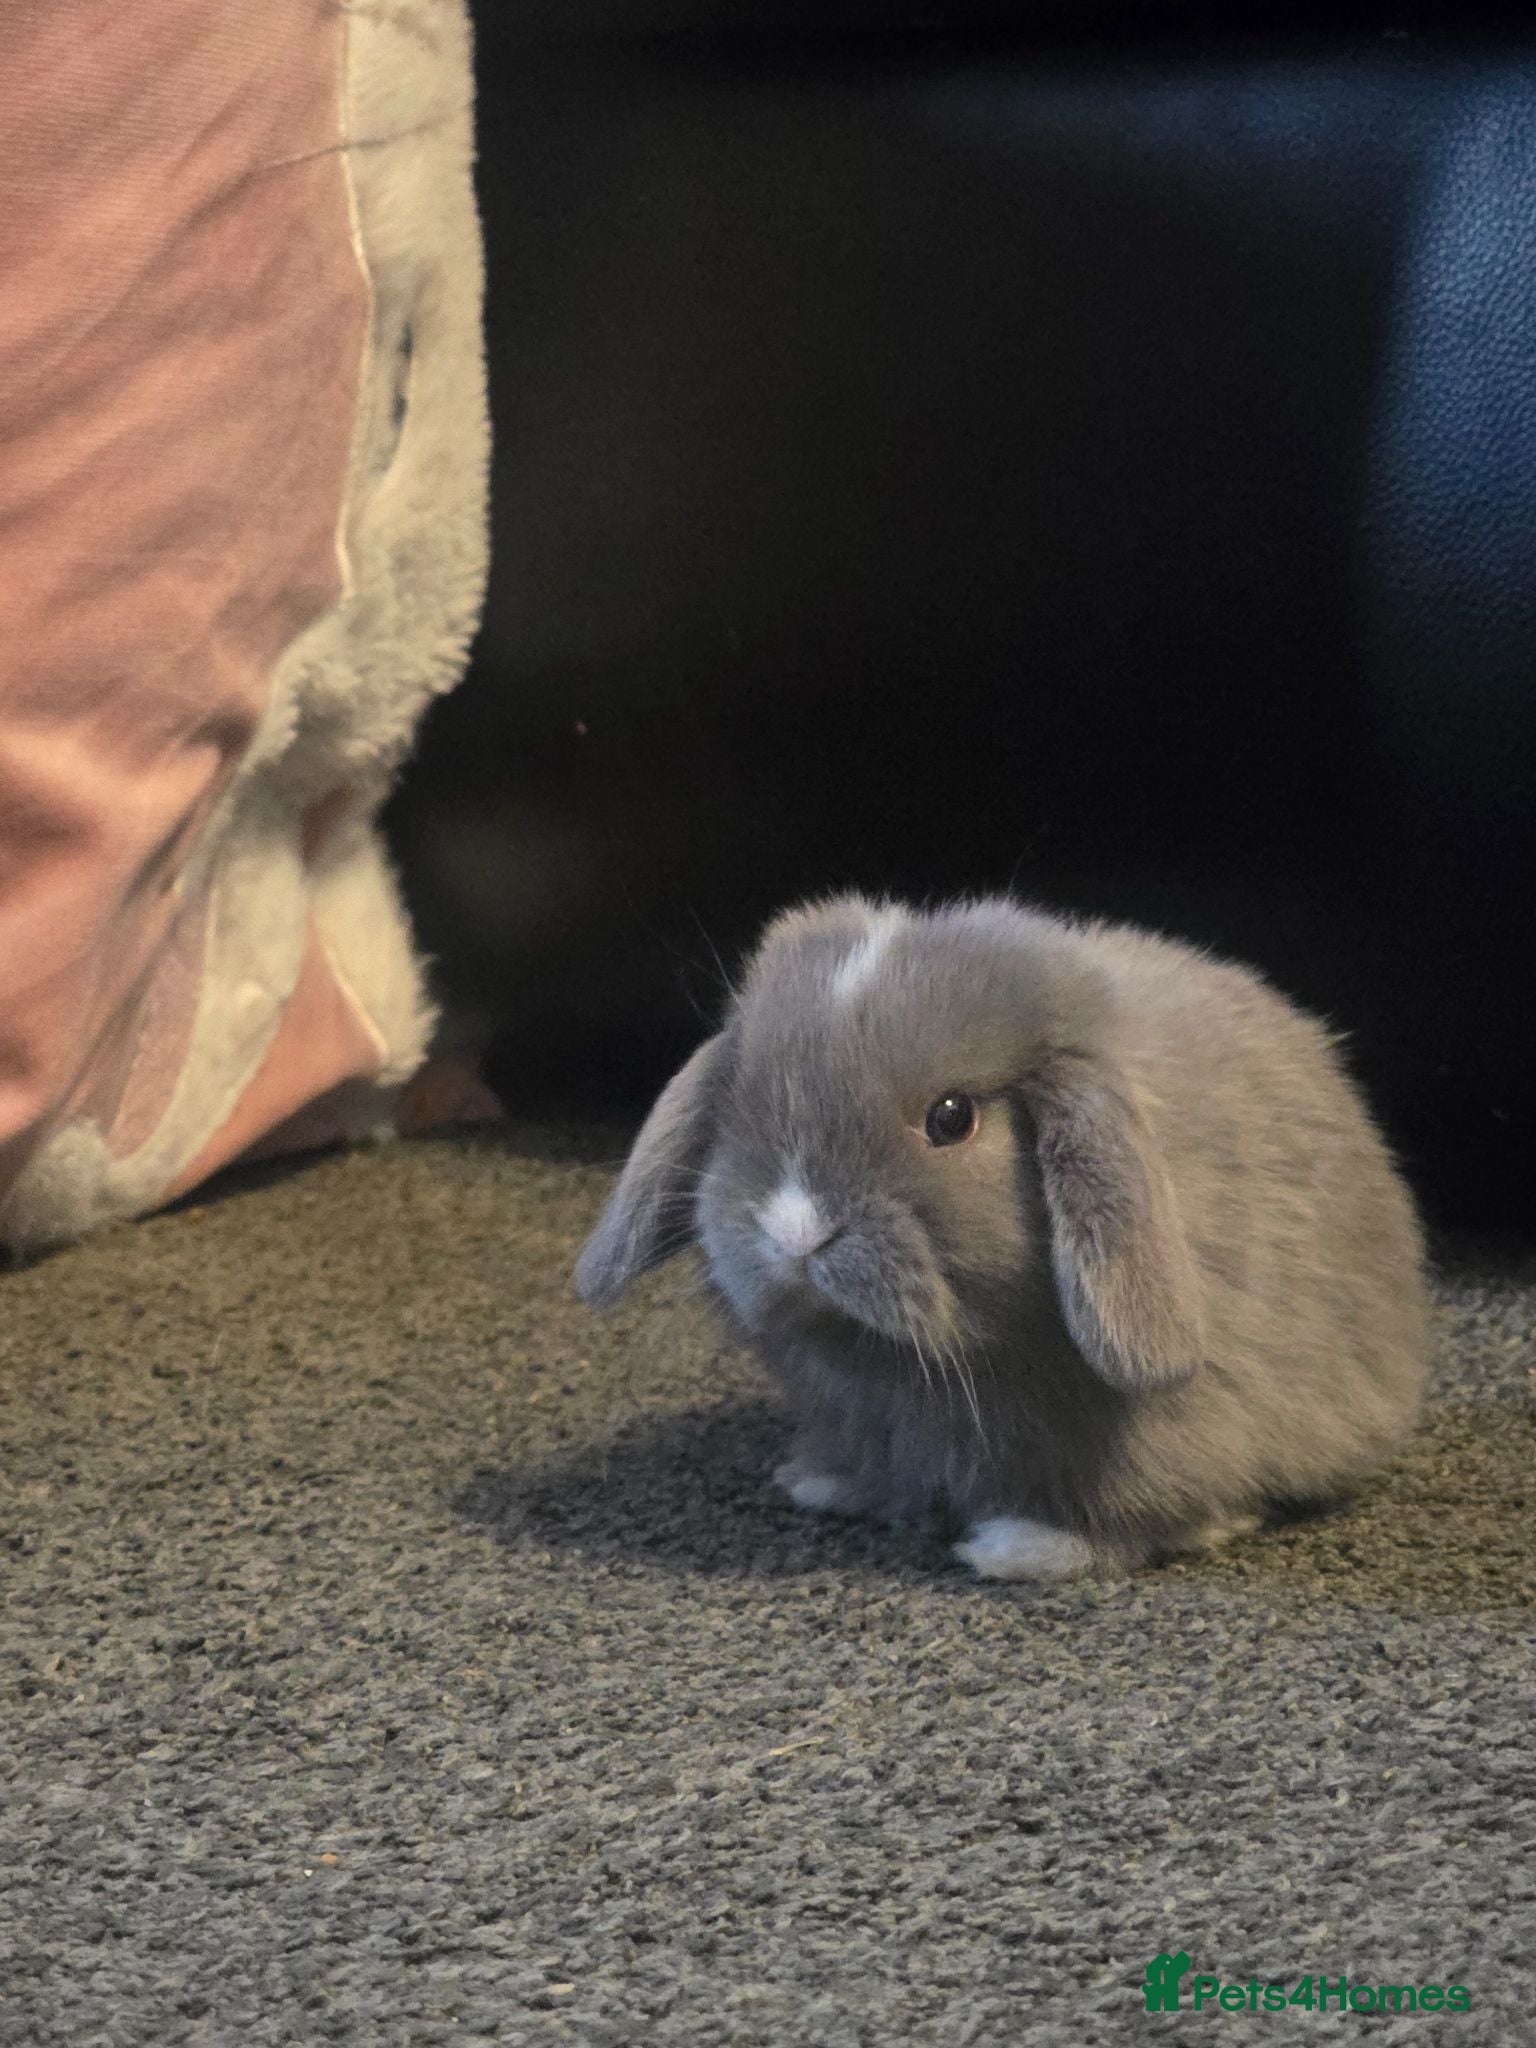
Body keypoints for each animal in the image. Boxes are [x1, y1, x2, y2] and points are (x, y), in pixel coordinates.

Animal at [574, 893, 1432, 1580]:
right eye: (742, 1098)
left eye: (952, 1118)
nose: (796, 1229)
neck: (907, 1367)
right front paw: (826, 1482)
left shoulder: (1165, 1435)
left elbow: (1135, 1518)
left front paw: (1017, 1549)